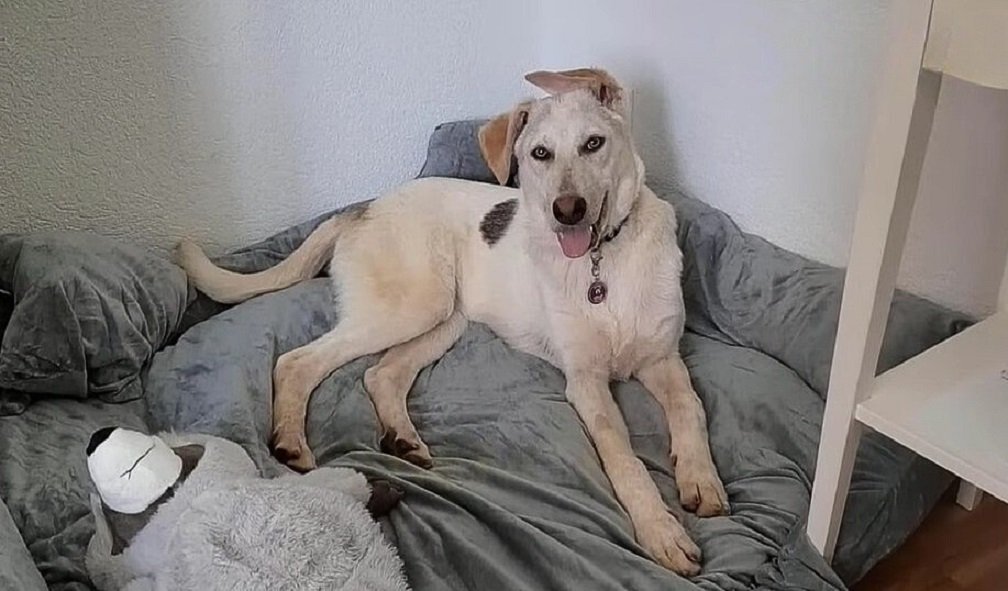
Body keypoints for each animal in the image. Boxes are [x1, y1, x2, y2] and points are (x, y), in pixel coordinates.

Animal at [176, 68, 728, 575]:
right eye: (540, 154)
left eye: (594, 143)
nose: (566, 211)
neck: (602, 263)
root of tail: (364, 208)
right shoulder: (586, 383)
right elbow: (624, 457)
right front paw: (660, 529)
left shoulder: (663, 358)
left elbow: (691, 408)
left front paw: (700, 477)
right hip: (412, 306)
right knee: (297, 362)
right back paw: (291, 441)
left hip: (445, 320)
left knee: (380, 374)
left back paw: (403, 439)